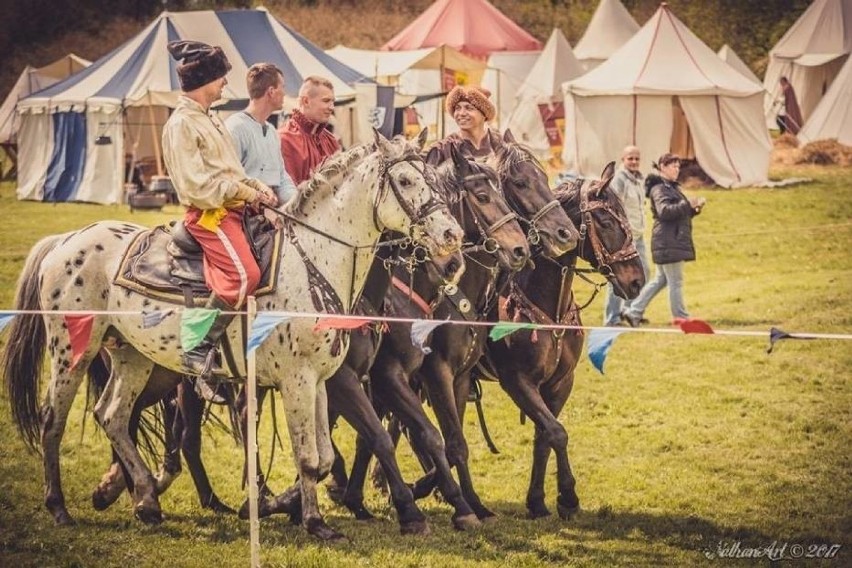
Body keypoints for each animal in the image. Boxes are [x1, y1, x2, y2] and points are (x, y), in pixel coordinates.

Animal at [3, 130, 462, 540]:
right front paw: (316, 523)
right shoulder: (299, 380)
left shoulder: (321, 380)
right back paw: (60, 507)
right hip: (72, 354)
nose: (452, 237)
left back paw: (146, 501)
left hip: (132, 356)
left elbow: (325, 456)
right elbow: (309, 456)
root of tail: (66, 240)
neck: (310, 263)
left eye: (435, 180)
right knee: (53, 420)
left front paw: (290, 508)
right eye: (406, 181)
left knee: (113, 415)